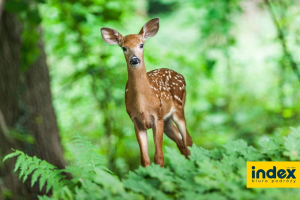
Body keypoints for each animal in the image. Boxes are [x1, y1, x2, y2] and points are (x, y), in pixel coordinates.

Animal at [101, 17, 193, 167]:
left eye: (141, 45)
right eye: (124, 48)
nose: (134, 60)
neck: (143, 106)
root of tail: (181, 76)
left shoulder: (157, 117)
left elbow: (159, 157)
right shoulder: (136, 122)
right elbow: (144, 159)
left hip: (178, 109)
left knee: (188, 140)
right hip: (167, 120)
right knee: (181, 143)